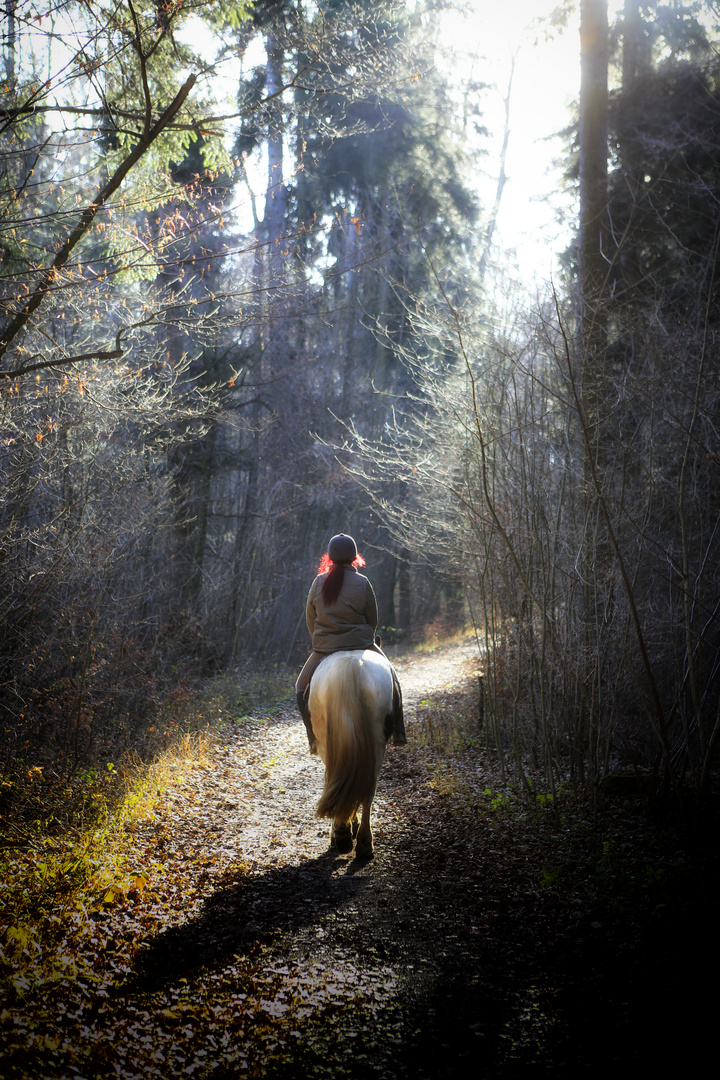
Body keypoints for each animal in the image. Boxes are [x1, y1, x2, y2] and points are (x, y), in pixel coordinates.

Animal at [308, 648, 395, 859]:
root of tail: (351, 664)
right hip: (376, 743)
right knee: (368, 788)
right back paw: (363, 844)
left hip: (326, 744)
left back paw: (344, 836)